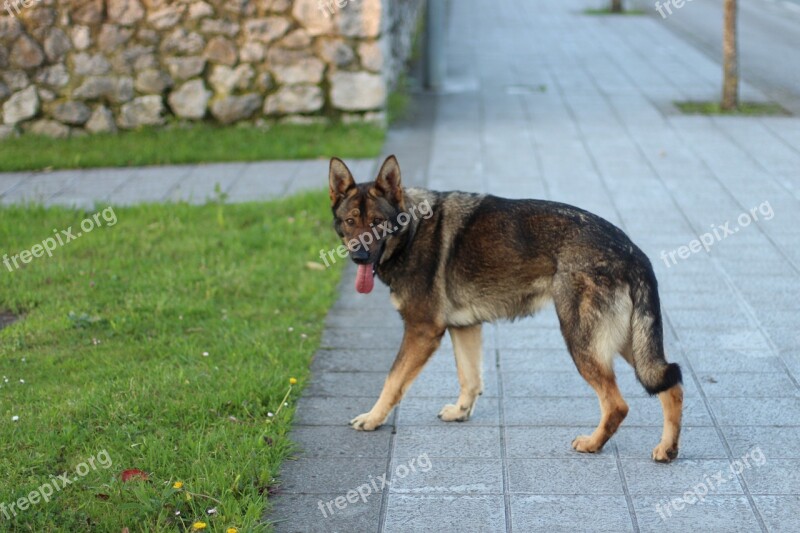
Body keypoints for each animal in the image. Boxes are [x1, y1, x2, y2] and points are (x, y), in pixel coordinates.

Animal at [328, 155, 684, 462]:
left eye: (377, 223)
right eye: (351, 222)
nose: (359, 257)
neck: (411, 230)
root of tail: (633, 251)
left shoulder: (422, 331)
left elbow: (392, 381)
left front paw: (372, 418)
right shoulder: (464, 328)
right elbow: (469, 379)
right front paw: (461, 412)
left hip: (583, 343)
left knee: (618, 404)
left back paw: (593, 443)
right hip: (626, 343)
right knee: (671, 383)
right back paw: (667, 449)